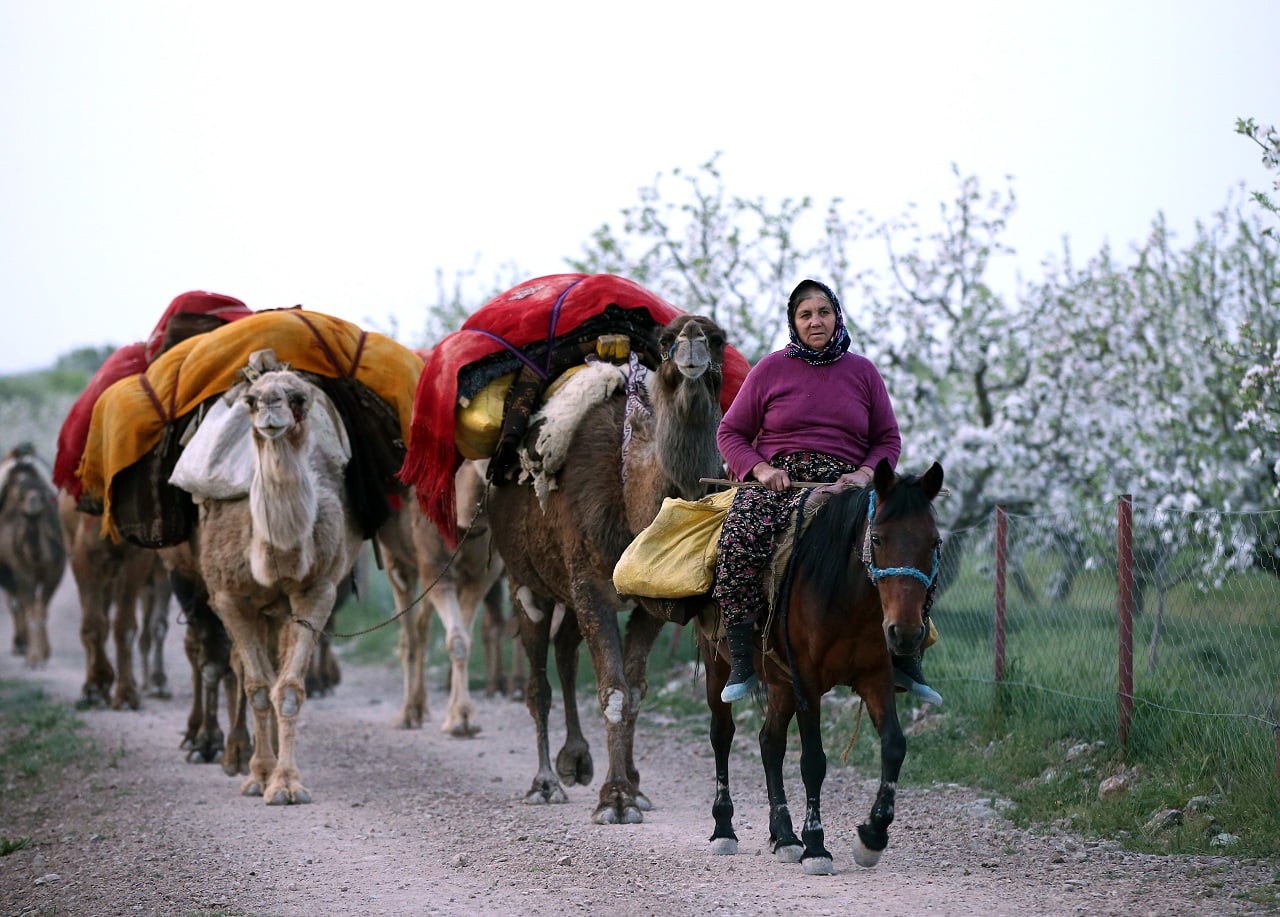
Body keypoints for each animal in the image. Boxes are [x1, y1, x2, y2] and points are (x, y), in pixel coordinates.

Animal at [0, 450, 66, 665]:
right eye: (21, 493)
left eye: (42, 493)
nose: (34, 501)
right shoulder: (20, 571)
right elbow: (29, 608)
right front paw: (34, 657)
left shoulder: (55, 571)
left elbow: (41, 609)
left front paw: (43, 653)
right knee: (17, 604)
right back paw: (20, 643)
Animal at [197, 366, 363, 804]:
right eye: (251, 400)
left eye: (298, 398)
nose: (271, 408)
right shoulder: (228, 596)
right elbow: (256, 686)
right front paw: (259, 777)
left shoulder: (316, 591)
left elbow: (287, 689)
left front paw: (287, 783)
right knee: (241, 668)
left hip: (280, 610)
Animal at [373, 461, 504, 732]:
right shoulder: (435, 568)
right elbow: (456, 639)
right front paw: (461, 718)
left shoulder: (481, 577)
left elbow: (464, 639)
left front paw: (461, 716)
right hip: (397, 562)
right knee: (409, 638)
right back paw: (407, 714)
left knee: (422, 629)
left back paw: (420, 708)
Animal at [488, 315, 732, 824]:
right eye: (666, 339)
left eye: (719, 338)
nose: (693, 338)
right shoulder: (590, 584)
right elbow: (614, 690)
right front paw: (615, 799)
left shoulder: (653, 601)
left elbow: (635, 689)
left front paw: (631, 790)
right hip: (526, 581)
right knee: (538, 679)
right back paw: (545, 782)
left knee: (565, 649)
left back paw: (578, 760)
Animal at [696, 458, 947, 876]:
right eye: (878, 539)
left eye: (933, 542)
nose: (906, 634)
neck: (849, 599)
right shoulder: (808, 683)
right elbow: (813, 761)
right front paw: (816, 846)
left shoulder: (874, 677)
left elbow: (894, 746)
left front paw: (871, 838)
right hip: (718, 666)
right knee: (722, 734)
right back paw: (725, 830)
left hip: (780, 681)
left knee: (770, 742)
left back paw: (783, 836)